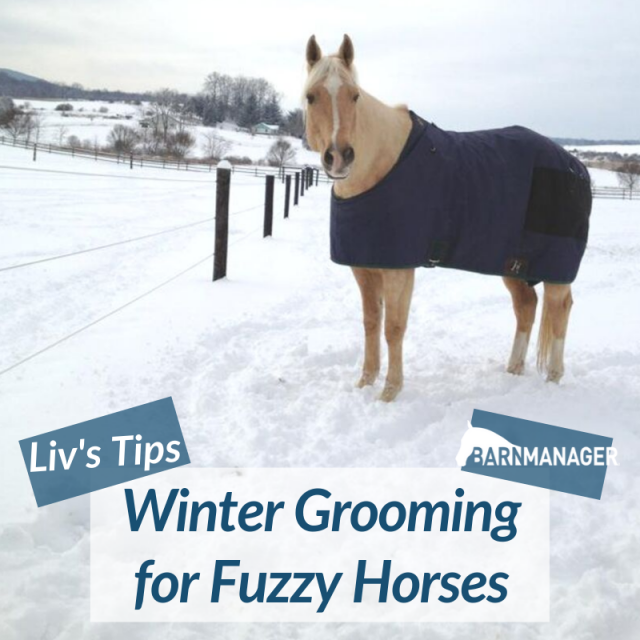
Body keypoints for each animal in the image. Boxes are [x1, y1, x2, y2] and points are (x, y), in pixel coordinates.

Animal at [303, 34, 592, 402]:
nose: (340, 157)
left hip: (556, 270)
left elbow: (393, 327)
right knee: (526, 306)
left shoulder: (398, 269)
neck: (383, 165)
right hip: (513, 264)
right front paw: (365, 383)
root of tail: (575, 165)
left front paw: (390, 392)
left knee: (560, 308)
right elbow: (370, 323)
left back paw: (553, 376)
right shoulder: (364, 266)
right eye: (311, 97)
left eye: (354, 95)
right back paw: (513, 369)